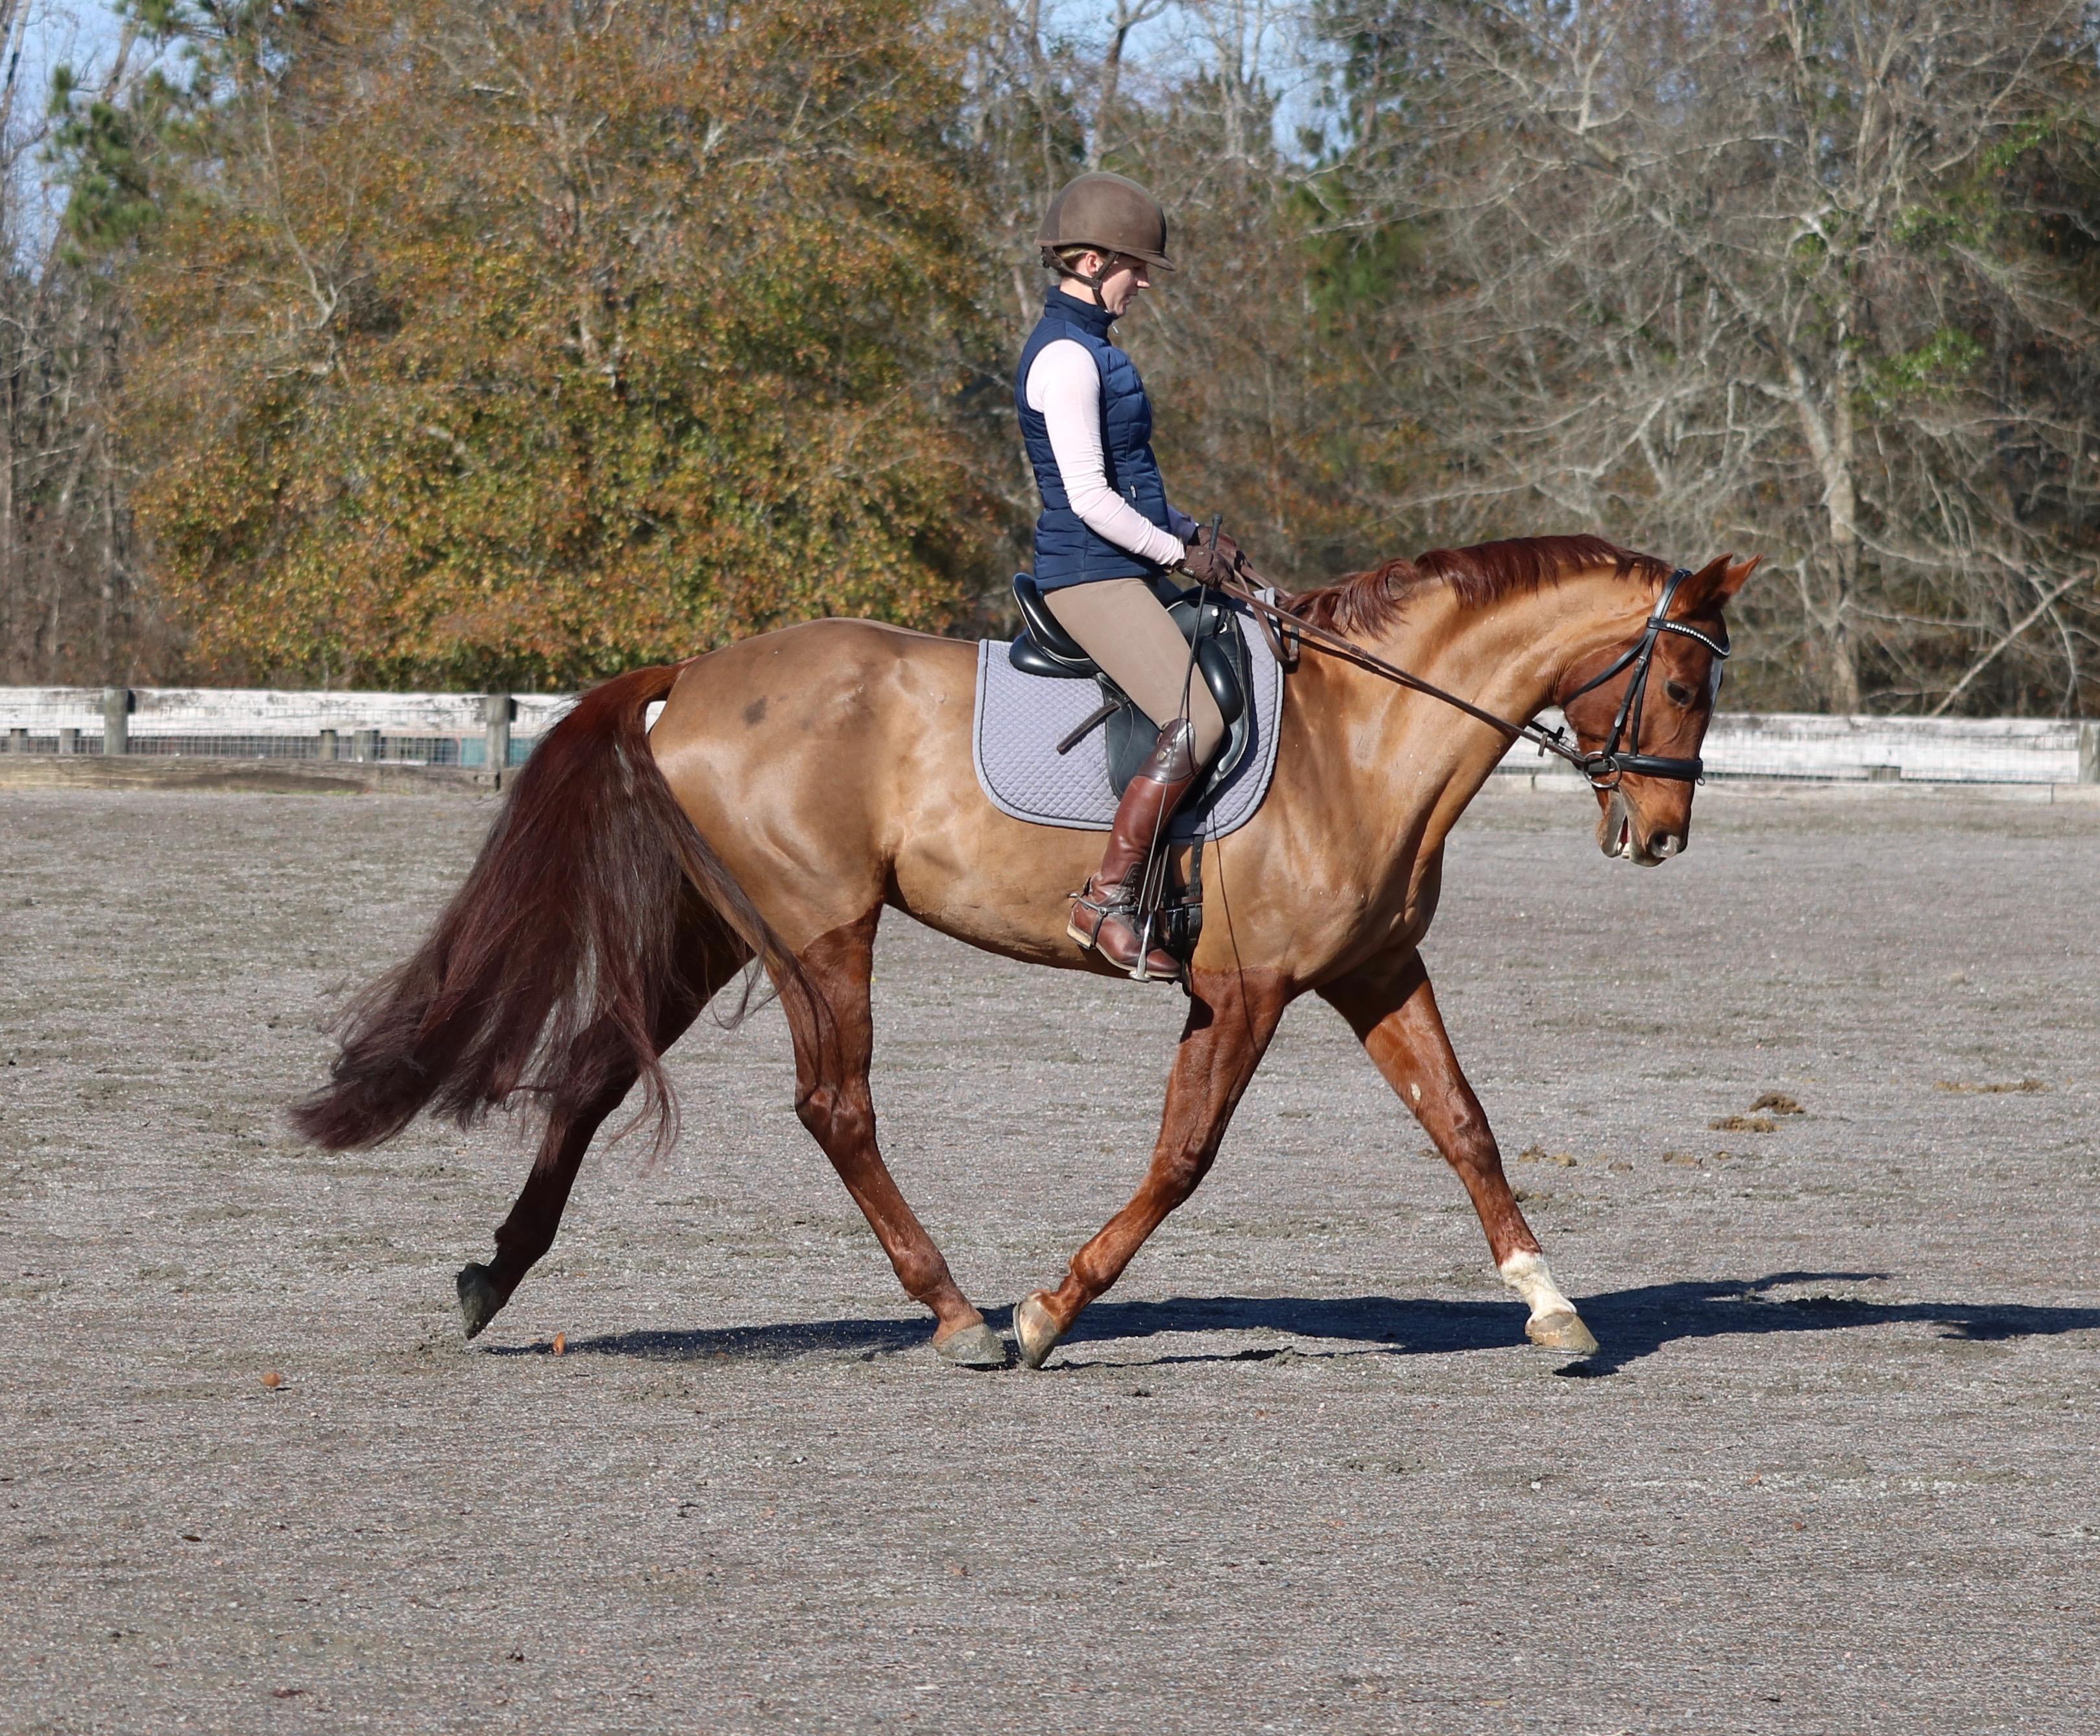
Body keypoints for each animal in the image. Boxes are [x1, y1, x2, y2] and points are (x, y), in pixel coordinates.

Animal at [293, 533, 1756, 1370]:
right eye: (1685, 683)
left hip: (722, 931)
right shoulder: (1246, 990)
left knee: (599, 1070)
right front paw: (1052, 1312)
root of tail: (689, 676)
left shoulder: (1370, 972)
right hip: (821, 930)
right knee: (833, 1106)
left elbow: (1463, 1125)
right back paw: (956, 1318)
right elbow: (1181, 1158)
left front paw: (1550, 1305)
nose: (1661, 835)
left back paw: (493, 1276)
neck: (1362, 735)